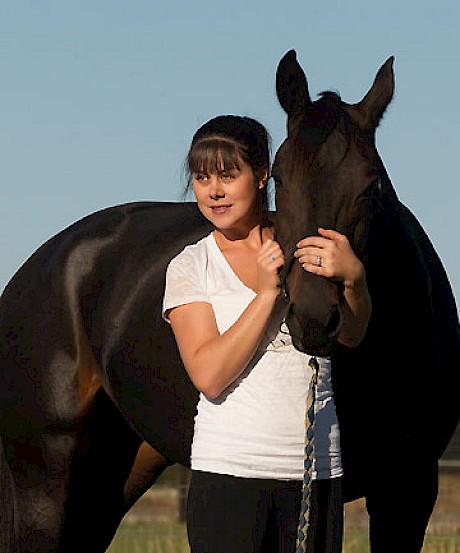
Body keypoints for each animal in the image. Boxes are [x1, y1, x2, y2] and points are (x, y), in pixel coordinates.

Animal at [0, 52, 458, 552]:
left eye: (371, 187)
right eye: (280, 178)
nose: (315, 319)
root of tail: (41, 265)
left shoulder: (408, 490)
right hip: (47, 482)